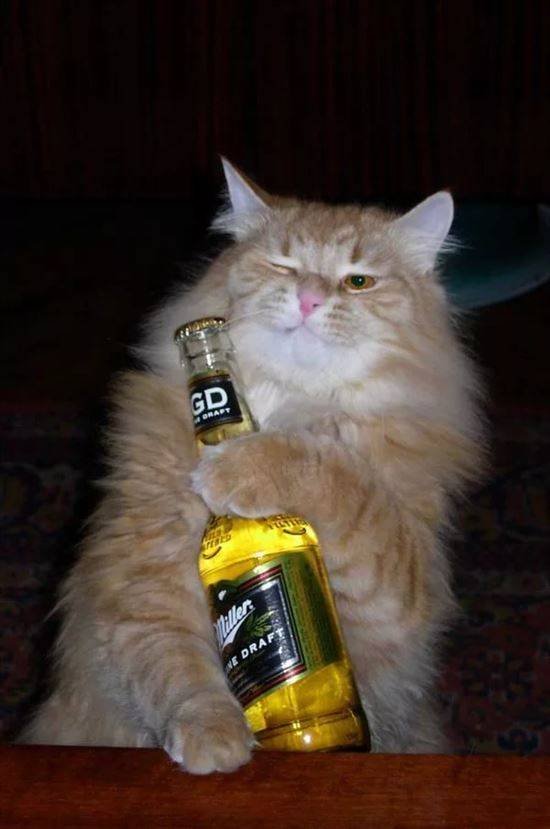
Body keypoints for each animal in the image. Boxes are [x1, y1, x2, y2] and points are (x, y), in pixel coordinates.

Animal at [21, 159, 484, 773]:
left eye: (357, 282)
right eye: (283, 266)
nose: (309, 299)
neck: (285, 405)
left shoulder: (395, 592)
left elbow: (335, 475)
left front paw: (242, 468)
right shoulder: (143, 583)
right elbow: (180, 668)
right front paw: (215, 737)